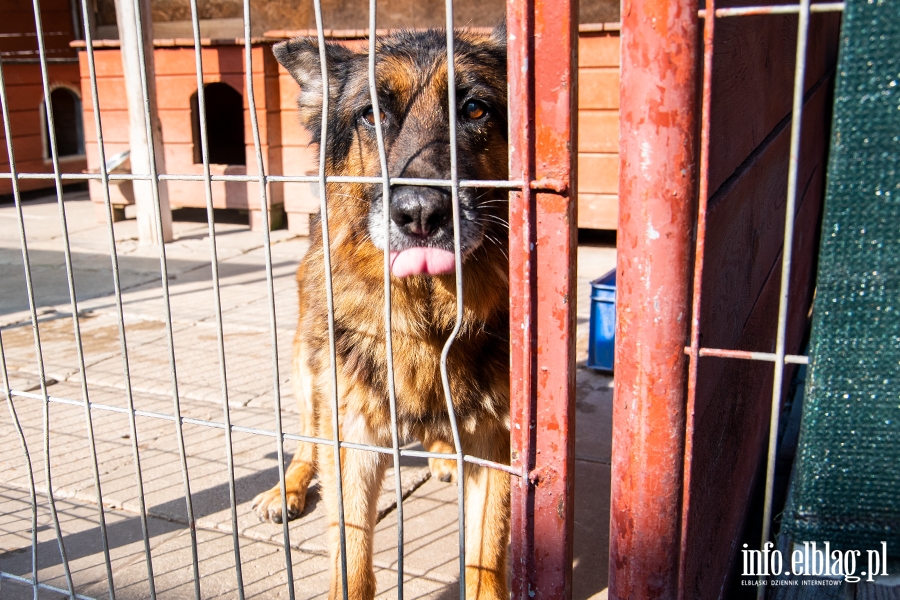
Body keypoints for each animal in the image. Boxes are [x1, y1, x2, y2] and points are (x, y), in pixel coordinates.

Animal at [251, 24, 512, 600]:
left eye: (475, 109)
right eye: (371, 114)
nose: (420, 214)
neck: (428, 316)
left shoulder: (495, 439)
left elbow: (486, 558)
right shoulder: (351, 434)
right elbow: (352, 563)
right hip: (308, 365)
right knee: (308, 436)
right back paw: (289, 486)